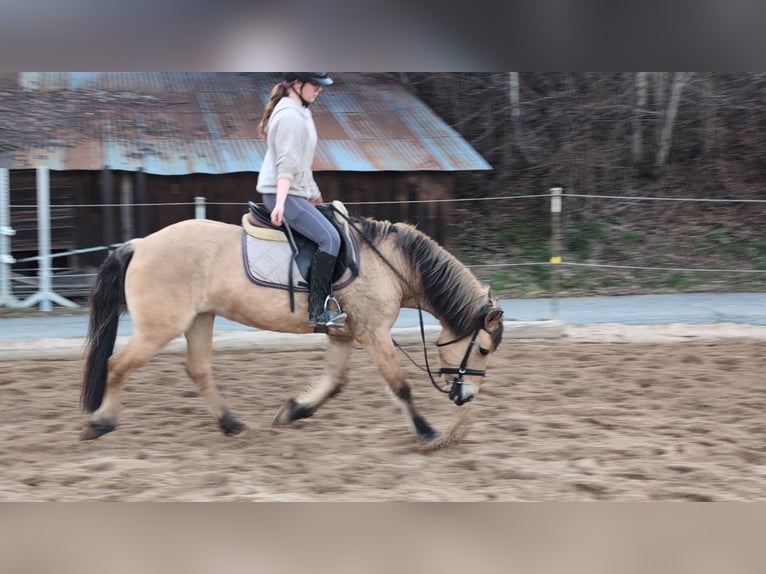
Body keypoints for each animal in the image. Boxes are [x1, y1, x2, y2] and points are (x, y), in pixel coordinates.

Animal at [80, 211, 504, 444]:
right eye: (483, 349)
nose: (466, 397)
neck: (391, 265)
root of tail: (140, 244)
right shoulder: (373, 333)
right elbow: (399, 385)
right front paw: (429, 433)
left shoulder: (343, 334)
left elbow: (334, 383)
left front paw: (293, 410)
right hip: (161, 327)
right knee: (116, 365)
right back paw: (101, 422)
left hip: (200, 319)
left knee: (198, 370)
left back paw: (231, 424)